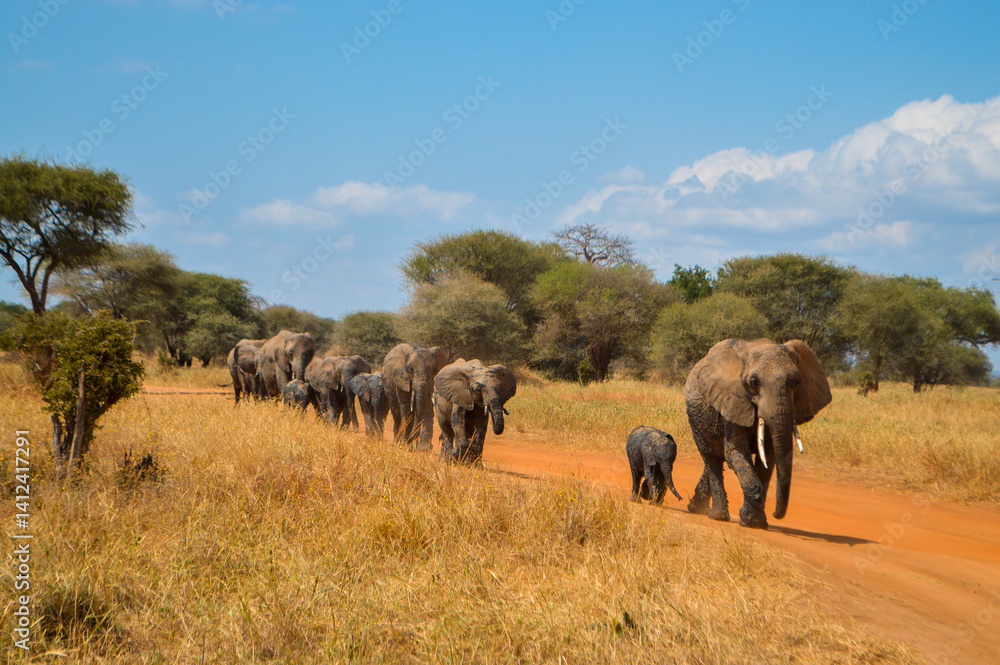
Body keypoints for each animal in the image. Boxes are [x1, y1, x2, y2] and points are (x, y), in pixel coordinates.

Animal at [684, 338, 831, 529]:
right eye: (753, 382)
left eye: (797, 382)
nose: (776, 514)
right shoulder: (732, 401)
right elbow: (736, 452)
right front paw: (750, 520)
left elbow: (768, 458)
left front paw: (756, 522)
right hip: (696, 419)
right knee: (711, 458)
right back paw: (718, 516)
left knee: (715, 459)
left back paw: (695, 507)